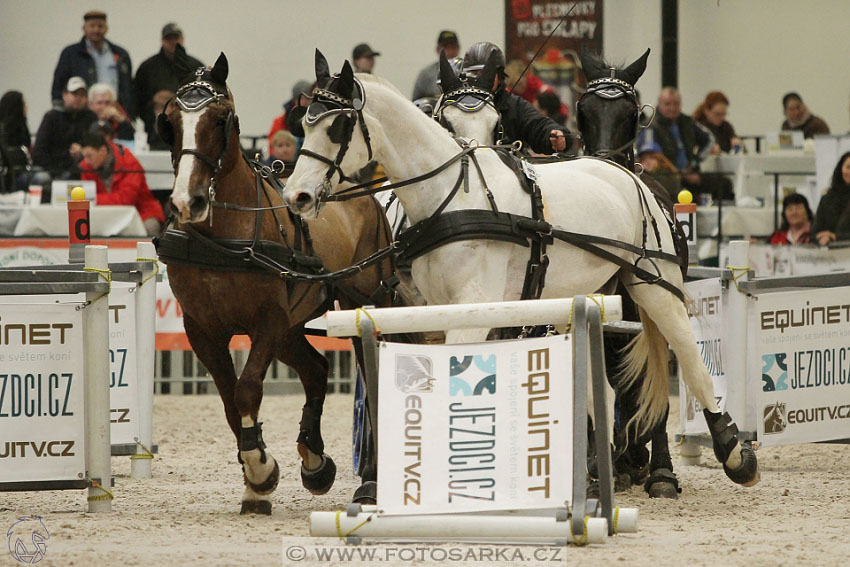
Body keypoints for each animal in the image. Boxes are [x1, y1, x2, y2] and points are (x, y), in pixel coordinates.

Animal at [154, 51, 392, 516]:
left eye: (220, 118)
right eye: (170, 120)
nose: (186, 202)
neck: (222, 236)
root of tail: (363, 191)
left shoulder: (266, 320)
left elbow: (247, 391)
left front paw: (262, 472)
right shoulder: (202, 329)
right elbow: (230, 401)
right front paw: (255, 480)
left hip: (360, 306)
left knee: (369, 380)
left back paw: (369, 479)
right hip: (292, 324)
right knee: (316, 370)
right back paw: (315, 462)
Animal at [282, 51, 760, 488]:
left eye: (337, 127)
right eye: (304, 122)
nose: (296, 196)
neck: (452, 195)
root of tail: (623, 173)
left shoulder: (473, 312)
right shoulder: (430, 311)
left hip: (655, 285)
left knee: (688, 357)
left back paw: (731, 452)